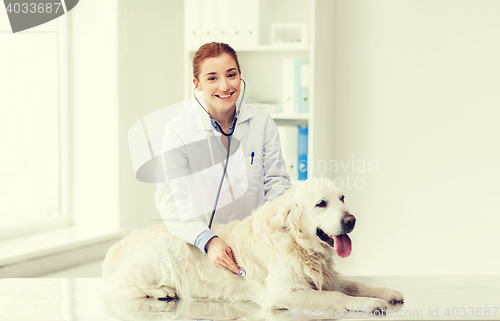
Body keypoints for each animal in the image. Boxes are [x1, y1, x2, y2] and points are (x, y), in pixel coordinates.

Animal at [101, 176, 402, 312]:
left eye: (342, 198)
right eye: (321, 203)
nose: (351, 220)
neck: (298, 244)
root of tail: (118, 245)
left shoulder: (328, 276)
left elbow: (355, 284)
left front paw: (385, 292)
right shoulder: (284, 293)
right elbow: (337, 297)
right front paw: (371, 303)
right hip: (159, 252)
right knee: (125, 288)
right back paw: (162, 291)